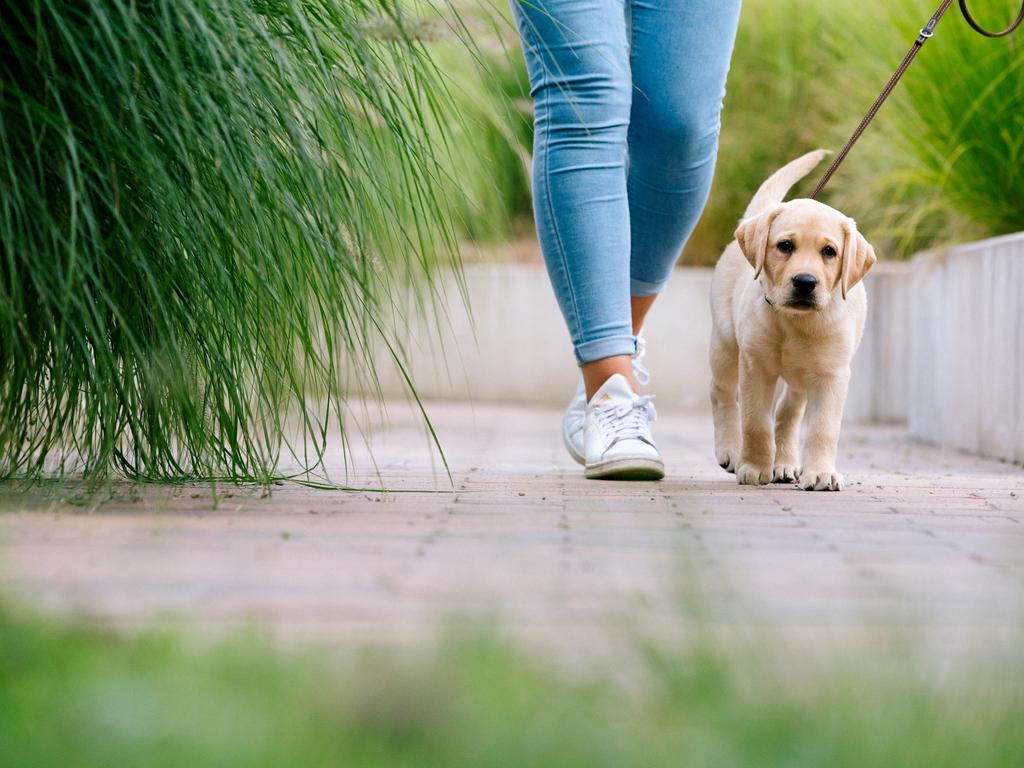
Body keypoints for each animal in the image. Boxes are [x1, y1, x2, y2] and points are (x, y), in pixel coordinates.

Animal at [708, 151, 876, 493]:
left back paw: (784, 464)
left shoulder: (832, 375)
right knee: (721, 393)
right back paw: (731, 450)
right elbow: (756, 422)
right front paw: (754, 467)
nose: (805, 282)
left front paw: (821, 473)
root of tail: (758, 214)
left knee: (788, 413)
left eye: (830, 251)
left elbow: (822, 428)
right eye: (785, 246)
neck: (796, 322)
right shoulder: (755, 367)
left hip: (800, 378)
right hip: (725, 343)